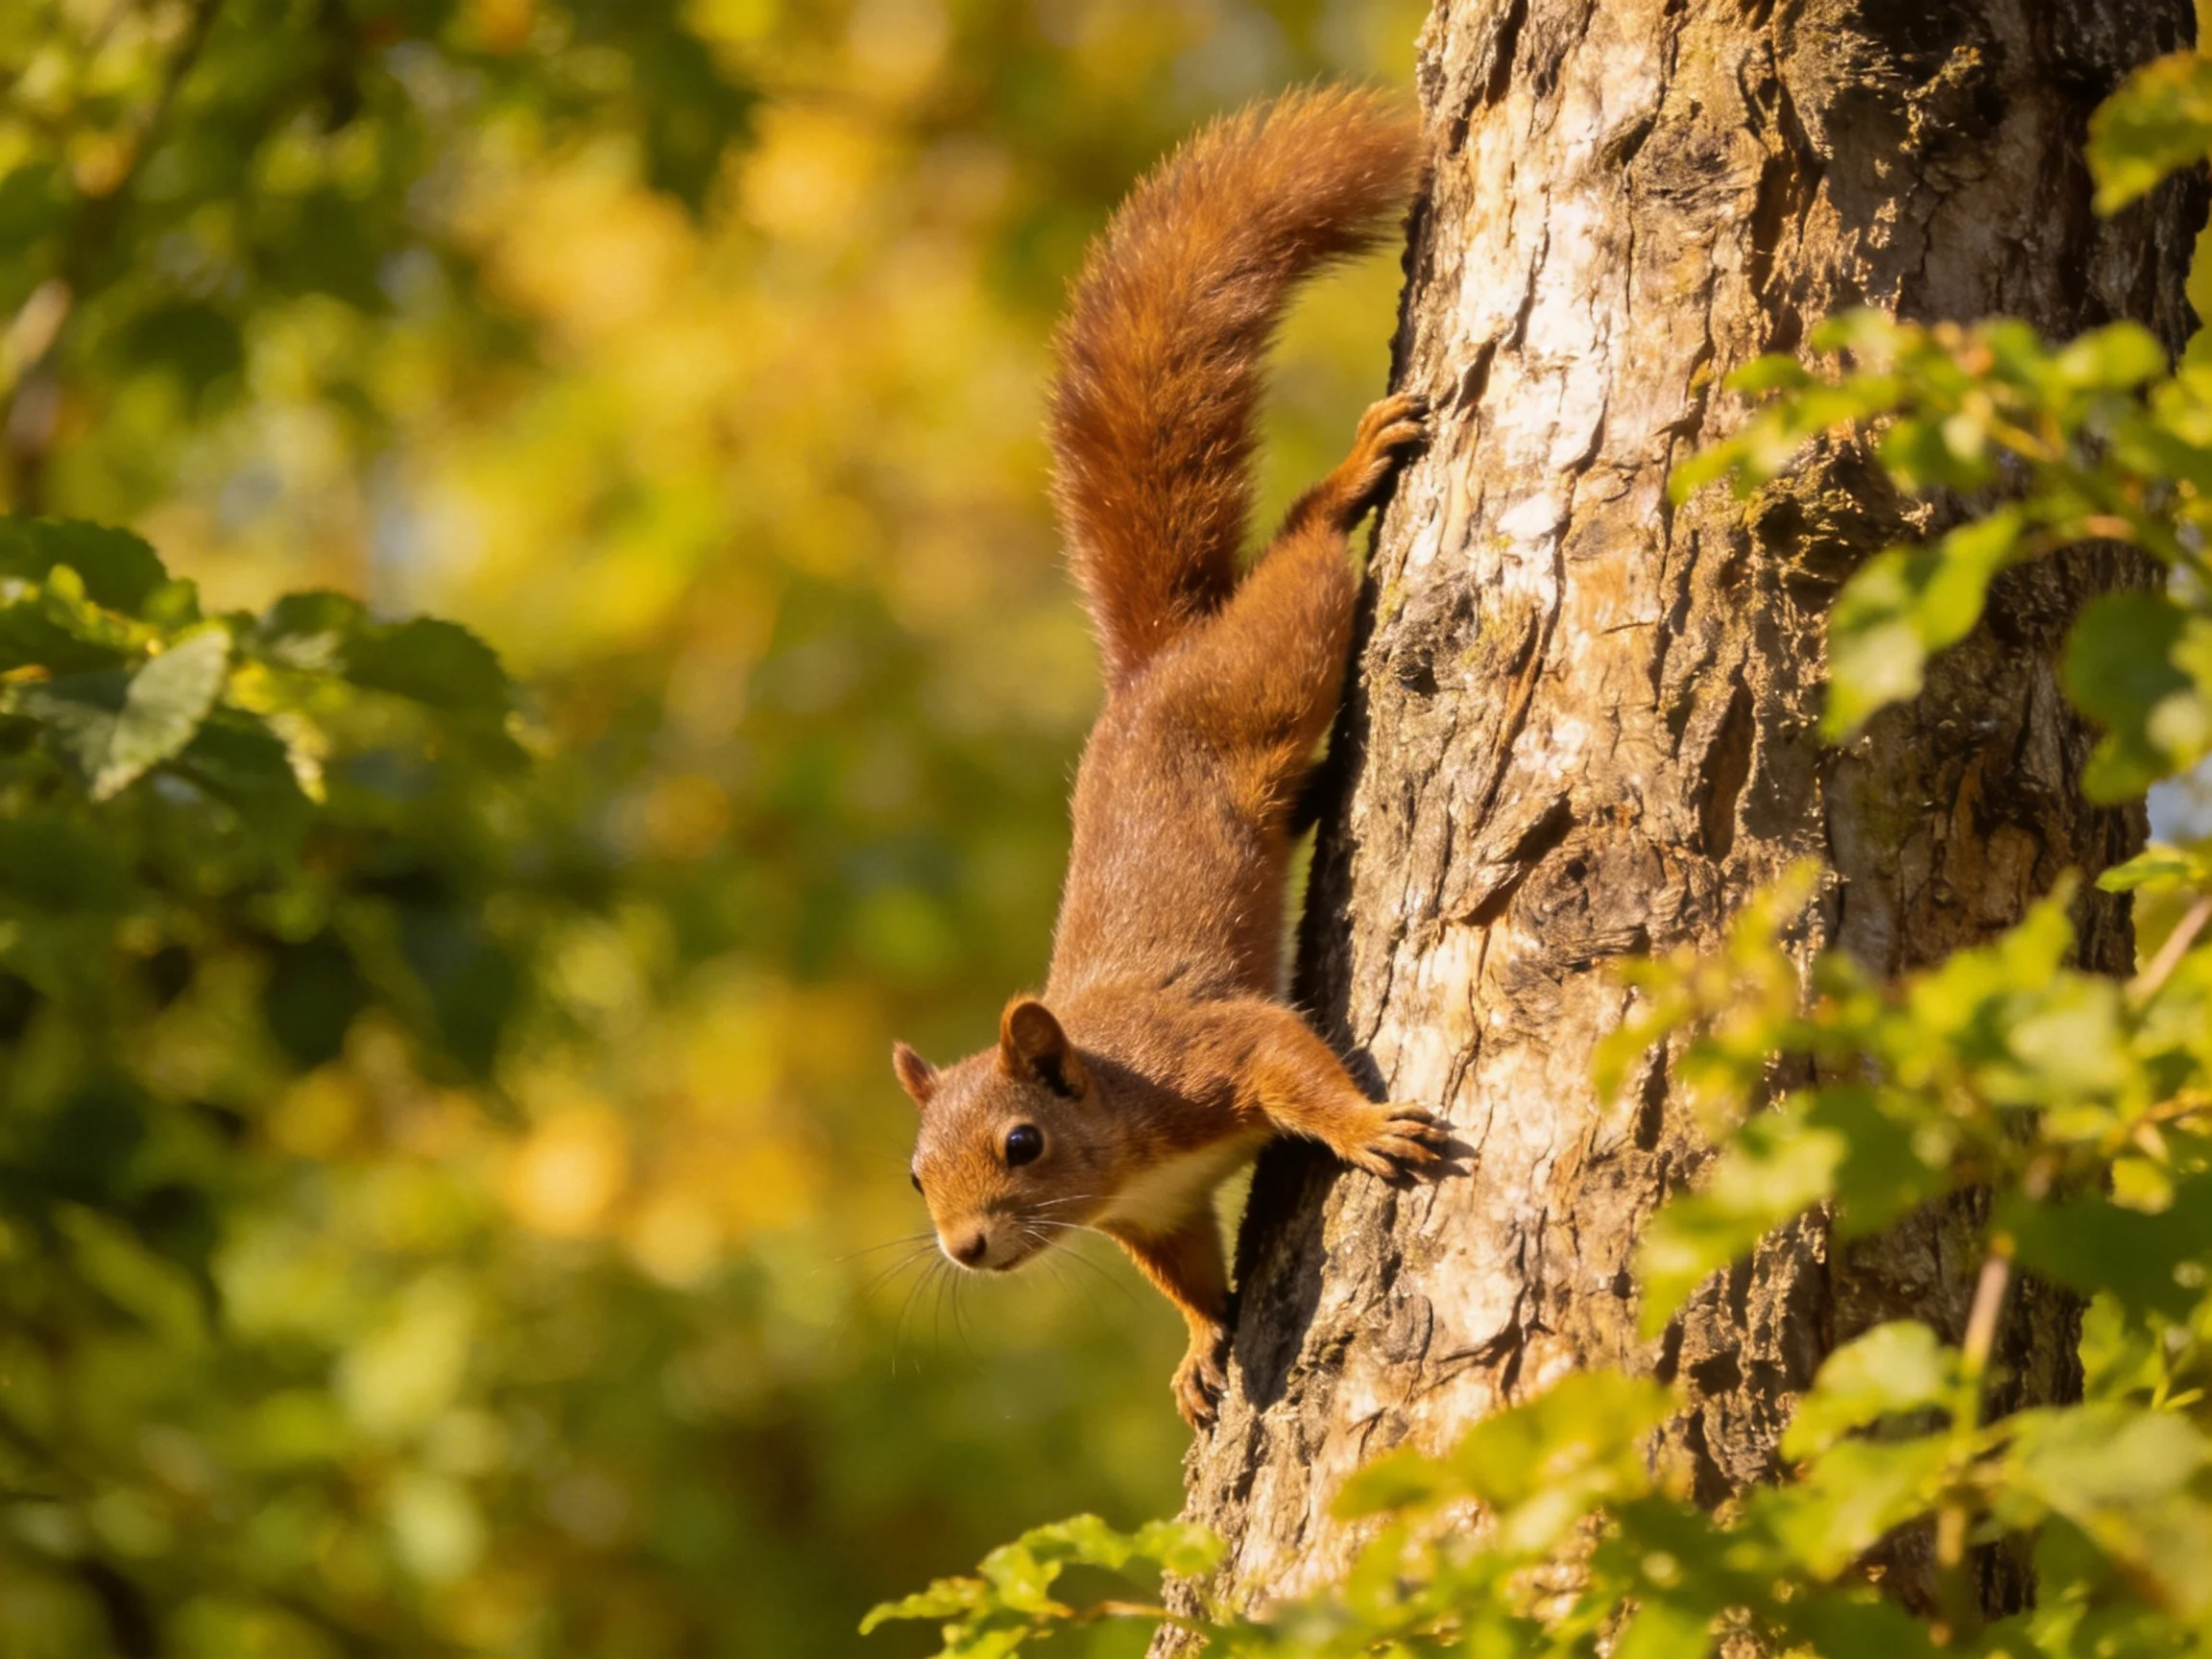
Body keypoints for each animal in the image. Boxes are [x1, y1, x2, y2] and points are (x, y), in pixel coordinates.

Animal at [890, 88, 1444, 1429]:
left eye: (1022, 1144)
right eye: (914, 1176)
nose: (967, 1250)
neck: (1120, 1136)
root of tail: (1151, 669)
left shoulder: (1211, 1052)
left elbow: (1293, 1060)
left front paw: (1364, 1128)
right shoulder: (1160, 1212)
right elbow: (1186, 1274)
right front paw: (1199, 1347)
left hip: (1273, 665)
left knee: (1302, 560)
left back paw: (1348, 481)